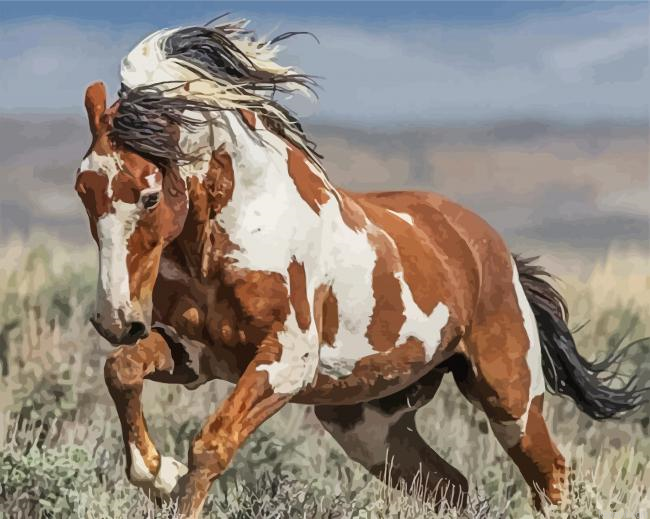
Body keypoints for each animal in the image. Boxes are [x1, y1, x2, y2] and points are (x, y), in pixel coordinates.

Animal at [75, 20, 645, 518]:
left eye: (149, 196)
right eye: (83, 189)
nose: (114, 320)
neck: (226, 236)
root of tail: (494, 251)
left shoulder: (285, 362)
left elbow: (211, 445)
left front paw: (169, 477)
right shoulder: (195, 355)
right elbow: (121, 371)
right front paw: (157, 473)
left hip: (511, 399)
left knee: (550, 475)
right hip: (369, 424)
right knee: (450, 486)